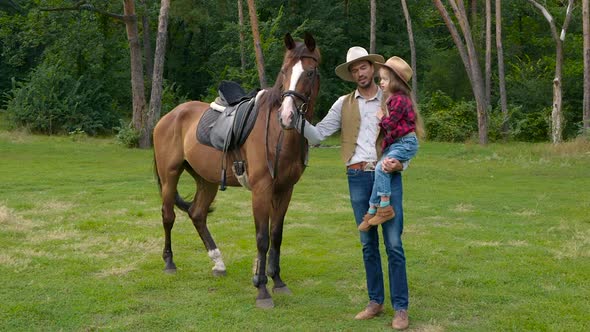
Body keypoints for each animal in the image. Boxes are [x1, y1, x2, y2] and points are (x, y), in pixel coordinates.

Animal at [151, 33, 320, 308]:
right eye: (284, 71)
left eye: (310, 72)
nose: (287, 115)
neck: (278, 134)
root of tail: (169, 116)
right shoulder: (261, 189)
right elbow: (262, 238)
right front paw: (262, 289)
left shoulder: (285, 190)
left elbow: (276, 234)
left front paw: (278, 281)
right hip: (170, 176)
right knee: (168, 216)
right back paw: (169, 262)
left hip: (206, 180)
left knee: (197, 214)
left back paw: (218, 262)